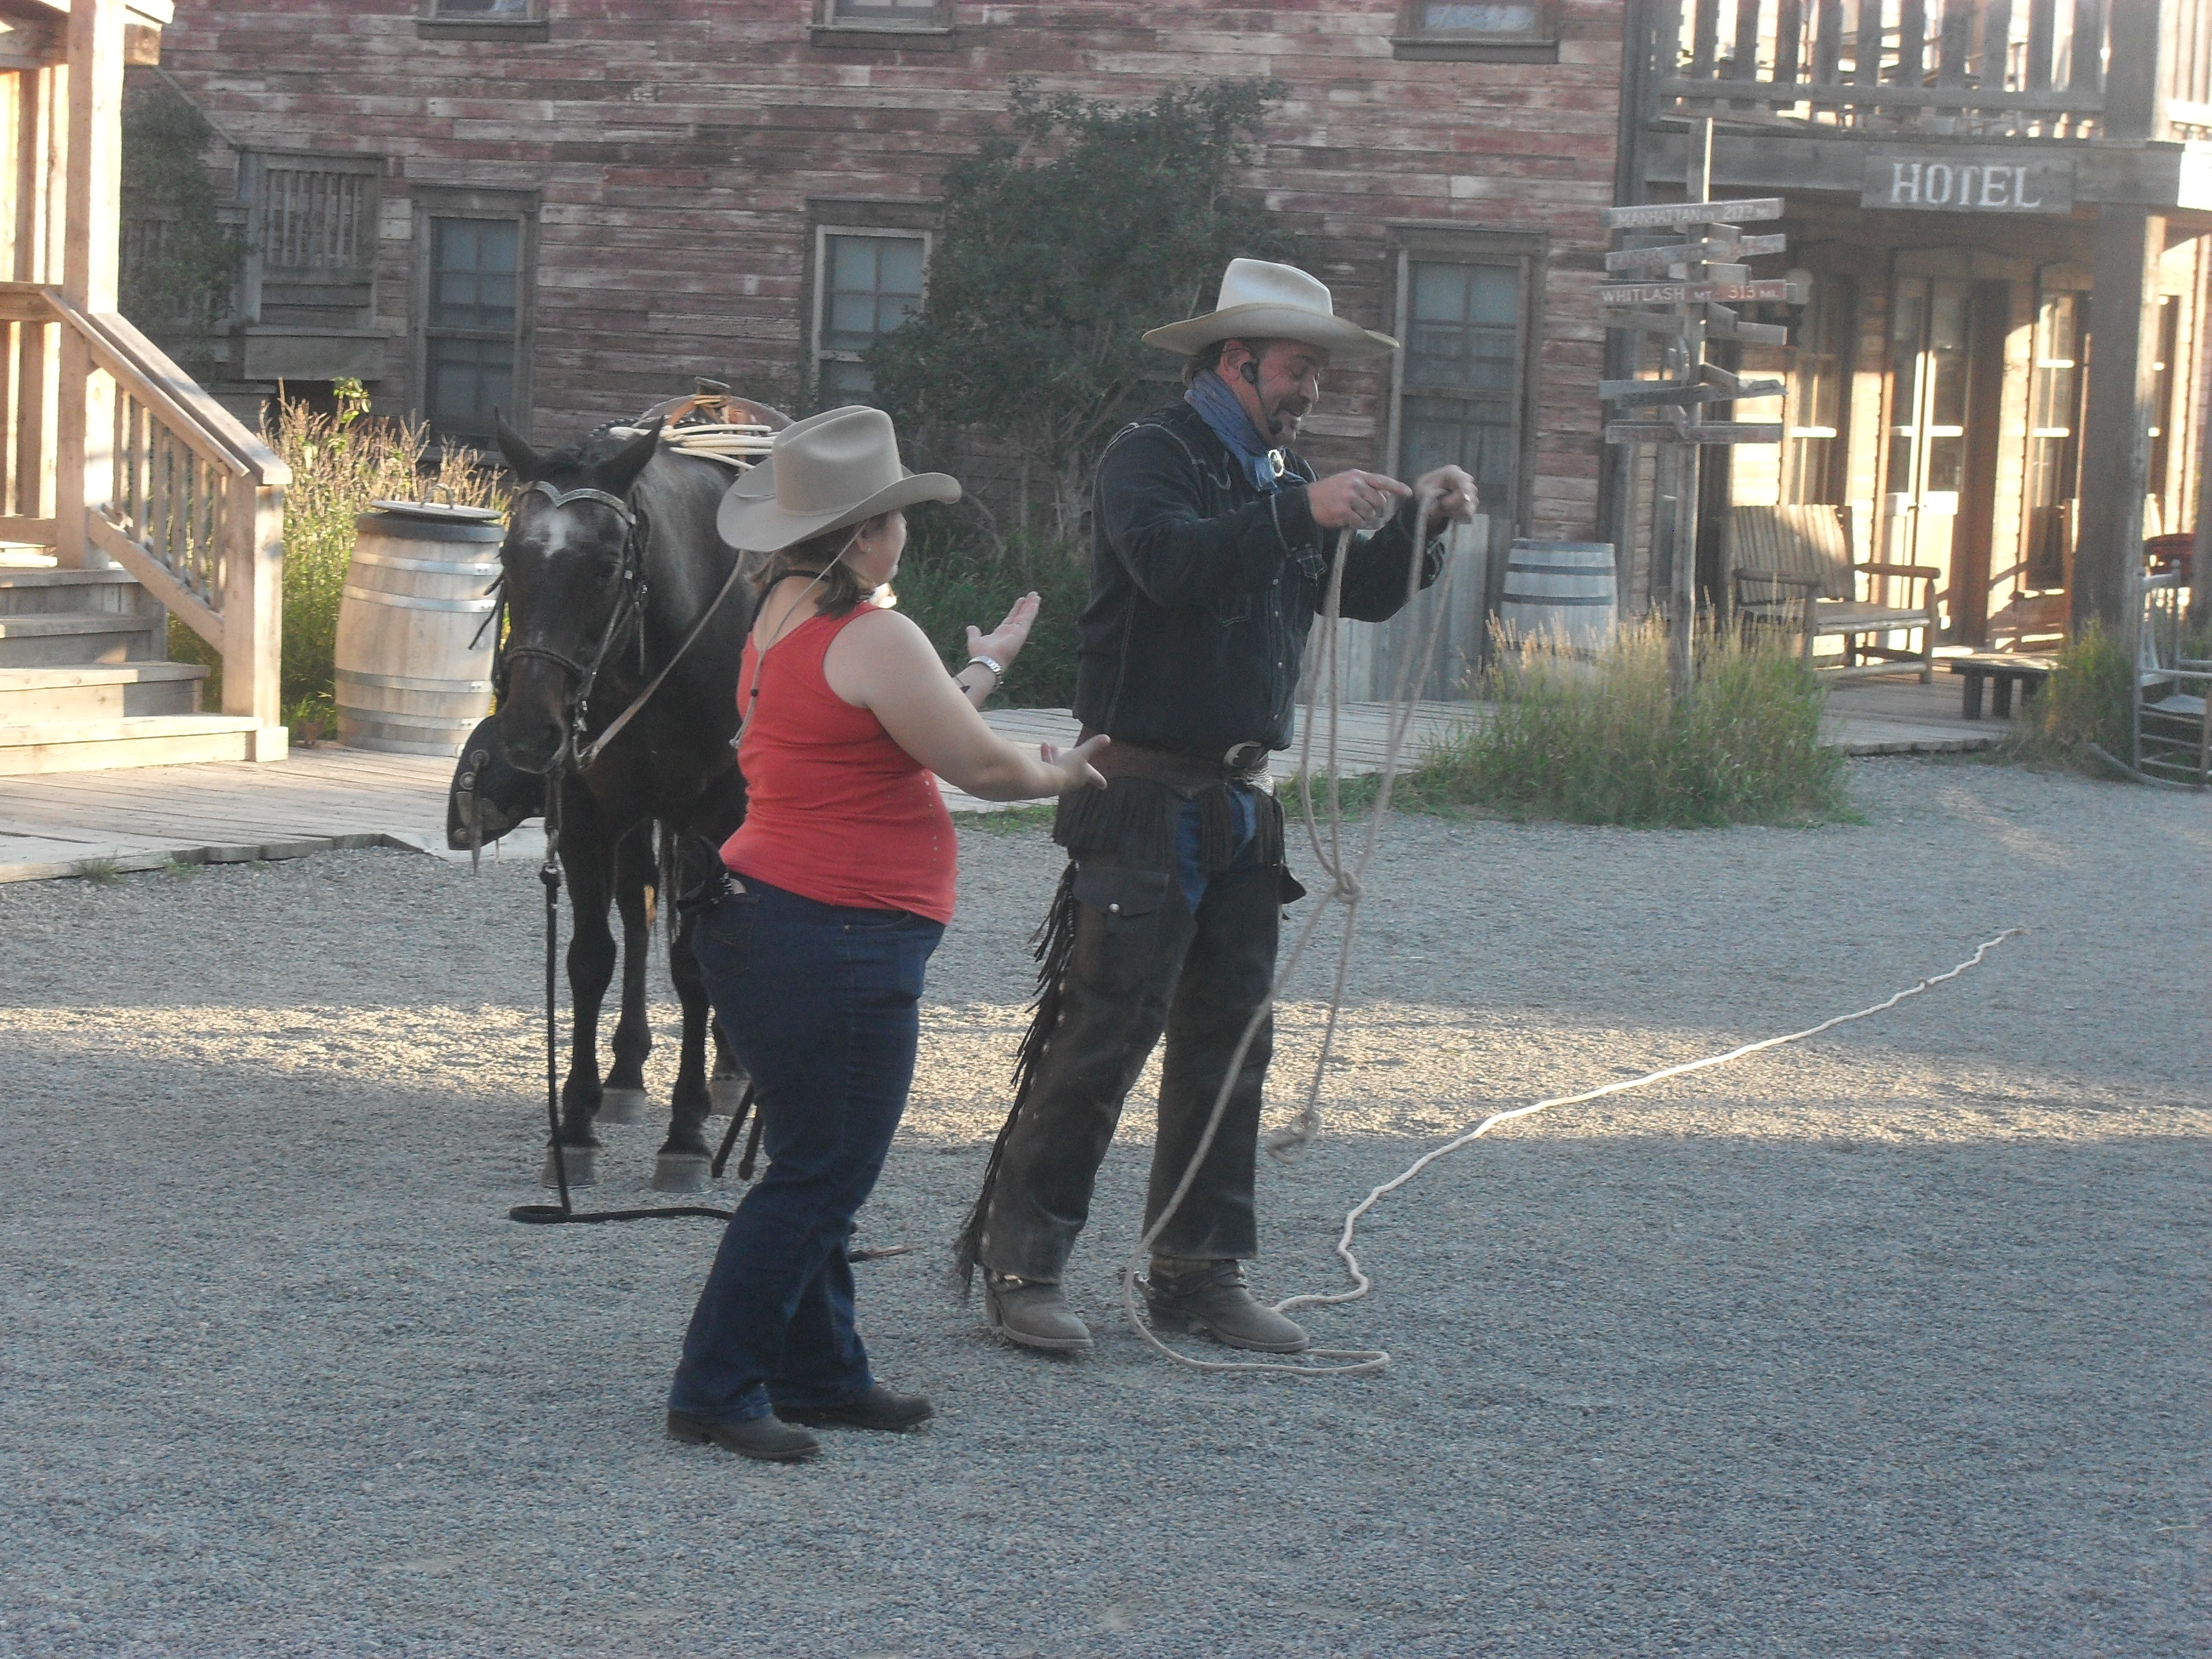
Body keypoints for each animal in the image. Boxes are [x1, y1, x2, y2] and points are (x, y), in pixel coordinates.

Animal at [490, 413, 759, 1192]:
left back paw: (730, 1067)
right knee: (639, 910)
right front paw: (575, 1124)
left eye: (608, 565)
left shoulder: (713, 815)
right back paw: (627, 1072)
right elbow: (591, 957)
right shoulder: (586, 810)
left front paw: (687, 1135)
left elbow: (696, 965)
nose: (530, 728)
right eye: (509, 556)